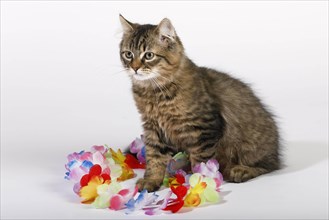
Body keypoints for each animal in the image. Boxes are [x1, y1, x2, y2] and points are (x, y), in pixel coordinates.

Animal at [118, 14, 280, 192]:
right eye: (128, 54)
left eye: (148, 55)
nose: (134, 68)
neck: (154, 92)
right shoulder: (153, 128)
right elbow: (154, 158)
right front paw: (151, 181)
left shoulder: (203, 129)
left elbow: (201, 162)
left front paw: (198, 183)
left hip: (250, 148)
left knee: (269, 166)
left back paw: (240, 171)